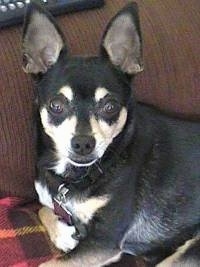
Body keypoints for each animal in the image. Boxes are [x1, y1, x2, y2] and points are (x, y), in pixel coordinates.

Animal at [21, 2, 200, 267]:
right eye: (56, 105)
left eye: (110, 106)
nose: (83, 143)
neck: (75, 177)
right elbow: (42, 208)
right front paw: (64, 233)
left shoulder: (104, 241)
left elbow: (50, 263)